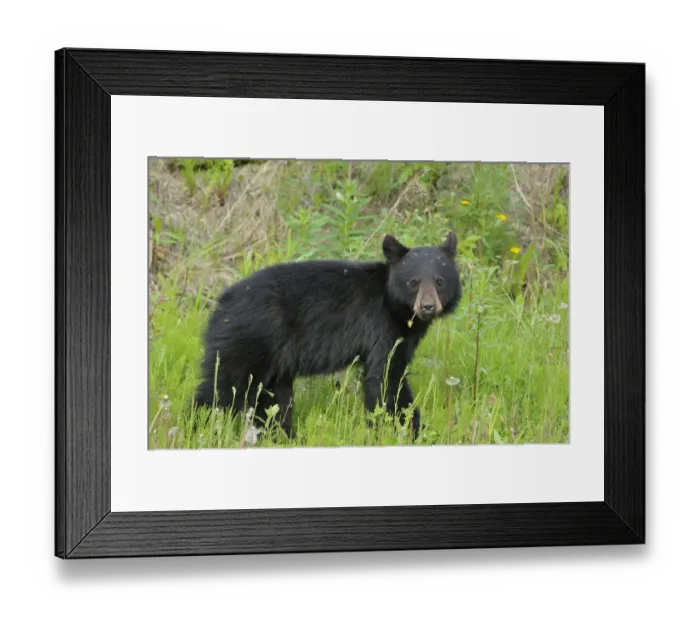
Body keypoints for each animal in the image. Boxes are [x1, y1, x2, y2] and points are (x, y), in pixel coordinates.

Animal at [193, 232, 462, 440]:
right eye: (414, 282)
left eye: (439, 281)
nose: (427, 307)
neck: (394, 305)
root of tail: (220, 304)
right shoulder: (380, 327)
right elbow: (385, 378)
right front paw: (411, 429)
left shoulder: (403, 336)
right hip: (249, 340)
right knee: (222, 388)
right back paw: (199, 429)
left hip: (273, 361)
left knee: (273, 401)